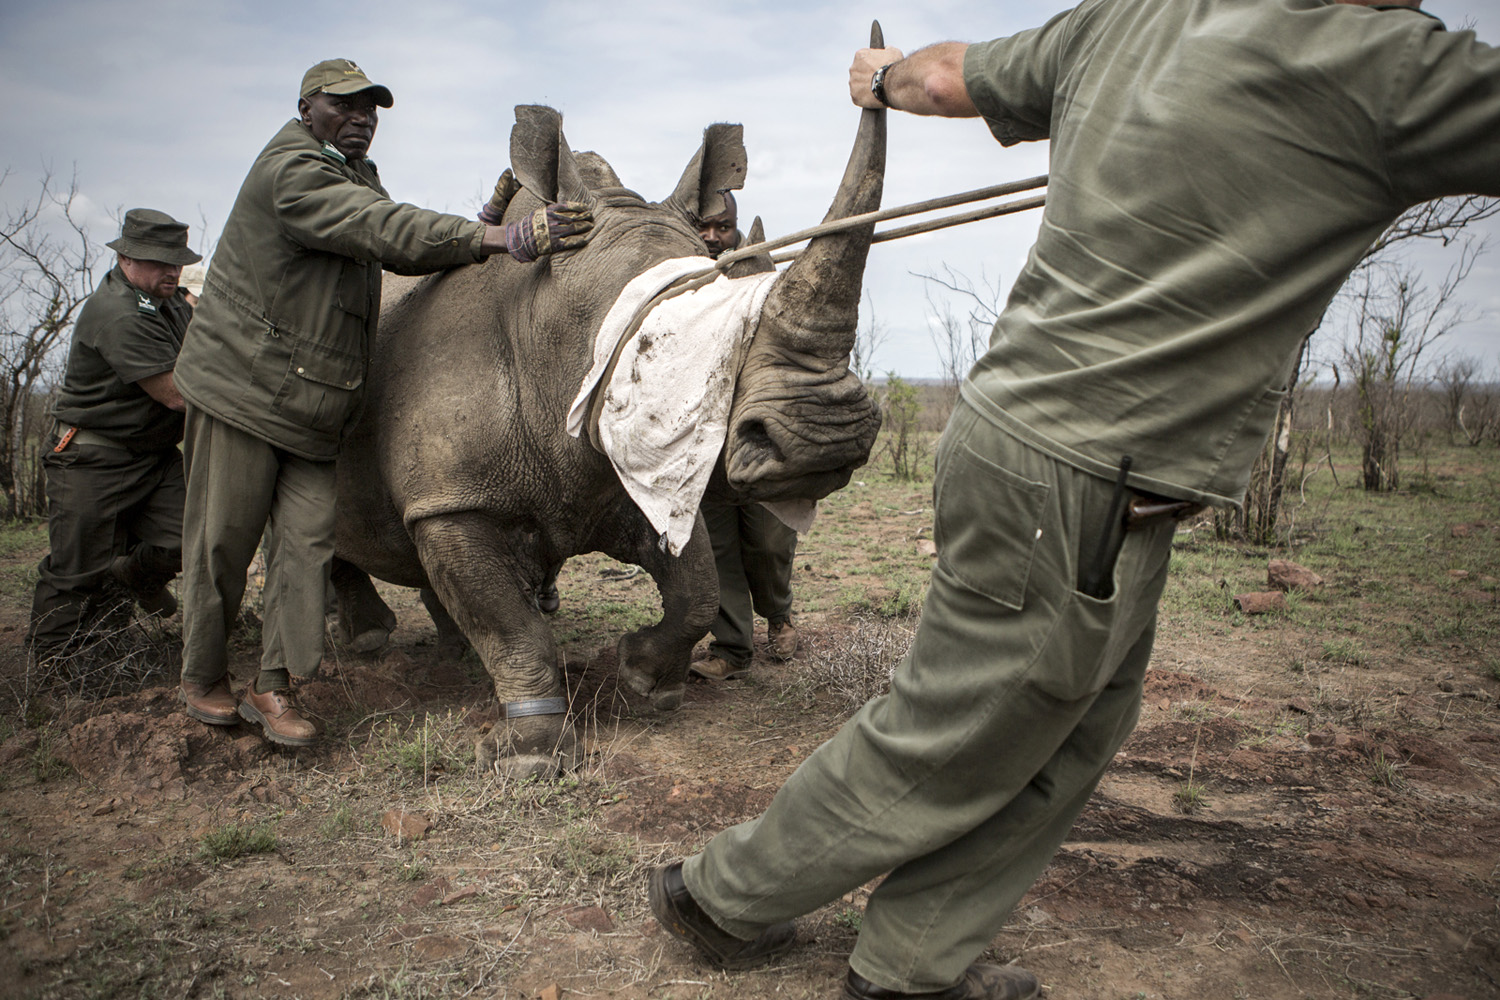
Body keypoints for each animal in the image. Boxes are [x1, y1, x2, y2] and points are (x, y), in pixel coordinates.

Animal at [334, 95, 882, 779]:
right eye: (664, 343)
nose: (827, 437)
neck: (543, 325)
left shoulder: (631, 462)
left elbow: (697, 587)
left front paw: (646, 680)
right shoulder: (453, 498)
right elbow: (508, 623)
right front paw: (530, 758)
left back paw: (442, 652)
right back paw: (368, 645)